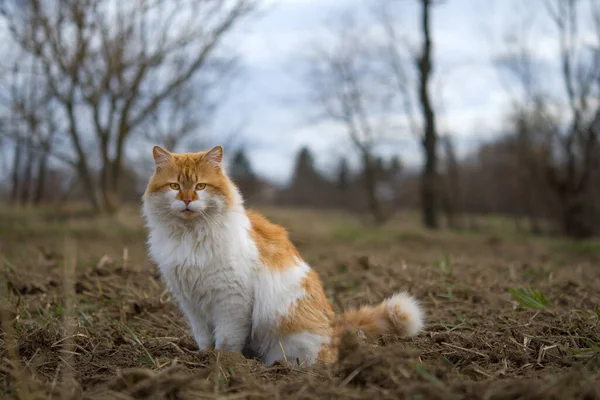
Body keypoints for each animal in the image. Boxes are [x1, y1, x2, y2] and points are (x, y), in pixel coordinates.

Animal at [141, 145, 424, 368]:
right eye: (175, 186)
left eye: (200, 186)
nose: (187, 200)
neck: (190, 238)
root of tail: (334, 327)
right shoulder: (191, 303)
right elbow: (204, 339)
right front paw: (204, 358)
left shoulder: (231, 302)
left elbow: (226, 341)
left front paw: (222, 362)